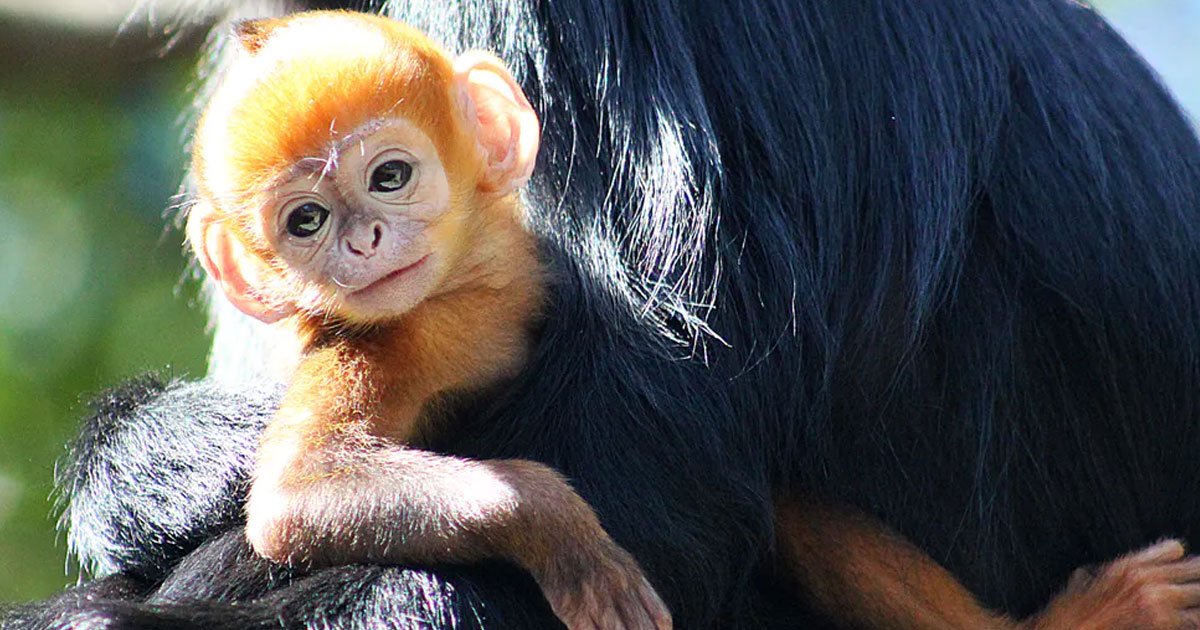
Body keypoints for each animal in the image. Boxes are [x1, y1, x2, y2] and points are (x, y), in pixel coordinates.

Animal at [190, 11, 672, 628]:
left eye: (390, 176)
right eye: (306, 220)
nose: (362, 241)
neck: (470, 294)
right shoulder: (385, 346)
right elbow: (292, 499)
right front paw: (565, 537)